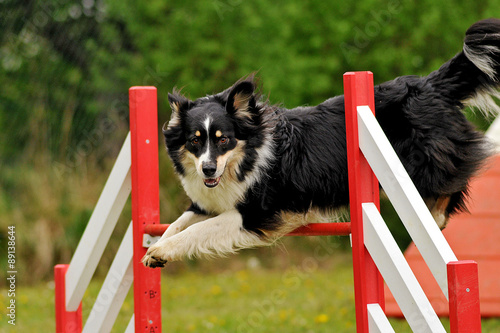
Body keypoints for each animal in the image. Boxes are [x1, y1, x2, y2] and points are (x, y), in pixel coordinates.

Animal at [142, 18, 500, 268]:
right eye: (195, 141)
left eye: (224, 139)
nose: (207, 169)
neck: (246, 158)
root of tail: (430, 83)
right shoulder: (210, 203)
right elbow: (178, 223)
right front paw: (153, 251)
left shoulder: (258, 214)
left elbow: (197, 231)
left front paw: (161, 250)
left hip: (421, 161)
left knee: (452, 180)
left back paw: (434, 218)